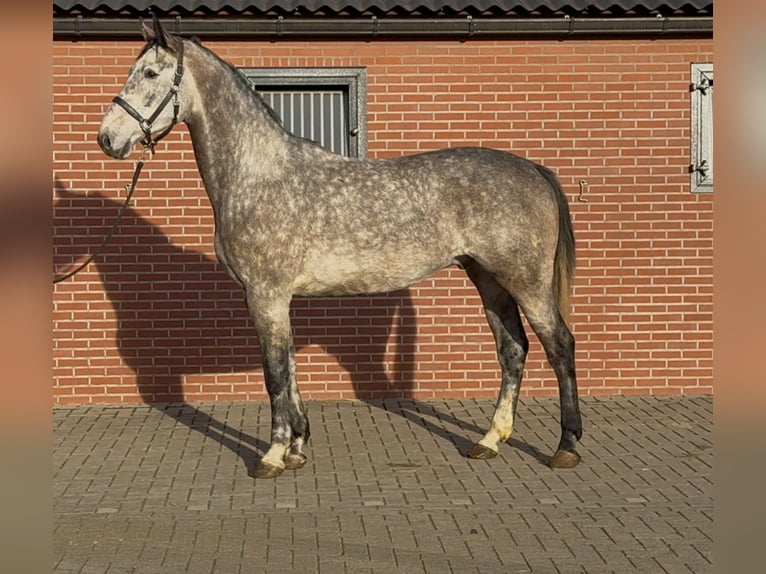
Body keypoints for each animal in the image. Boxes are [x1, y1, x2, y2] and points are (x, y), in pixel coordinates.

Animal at [96, 15, 582, 479]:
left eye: (150, 72)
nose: (107, 138)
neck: (258, 176)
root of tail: (533, 169)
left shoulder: (265, 295)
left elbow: (275, 374)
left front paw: (272, 455)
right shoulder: (276, 299)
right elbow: (290, 368)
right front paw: (297, 447)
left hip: (525, 281)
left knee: (559, 344)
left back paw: (566, 446)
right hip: (488, 279)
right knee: (513, 350)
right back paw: (489, 440)